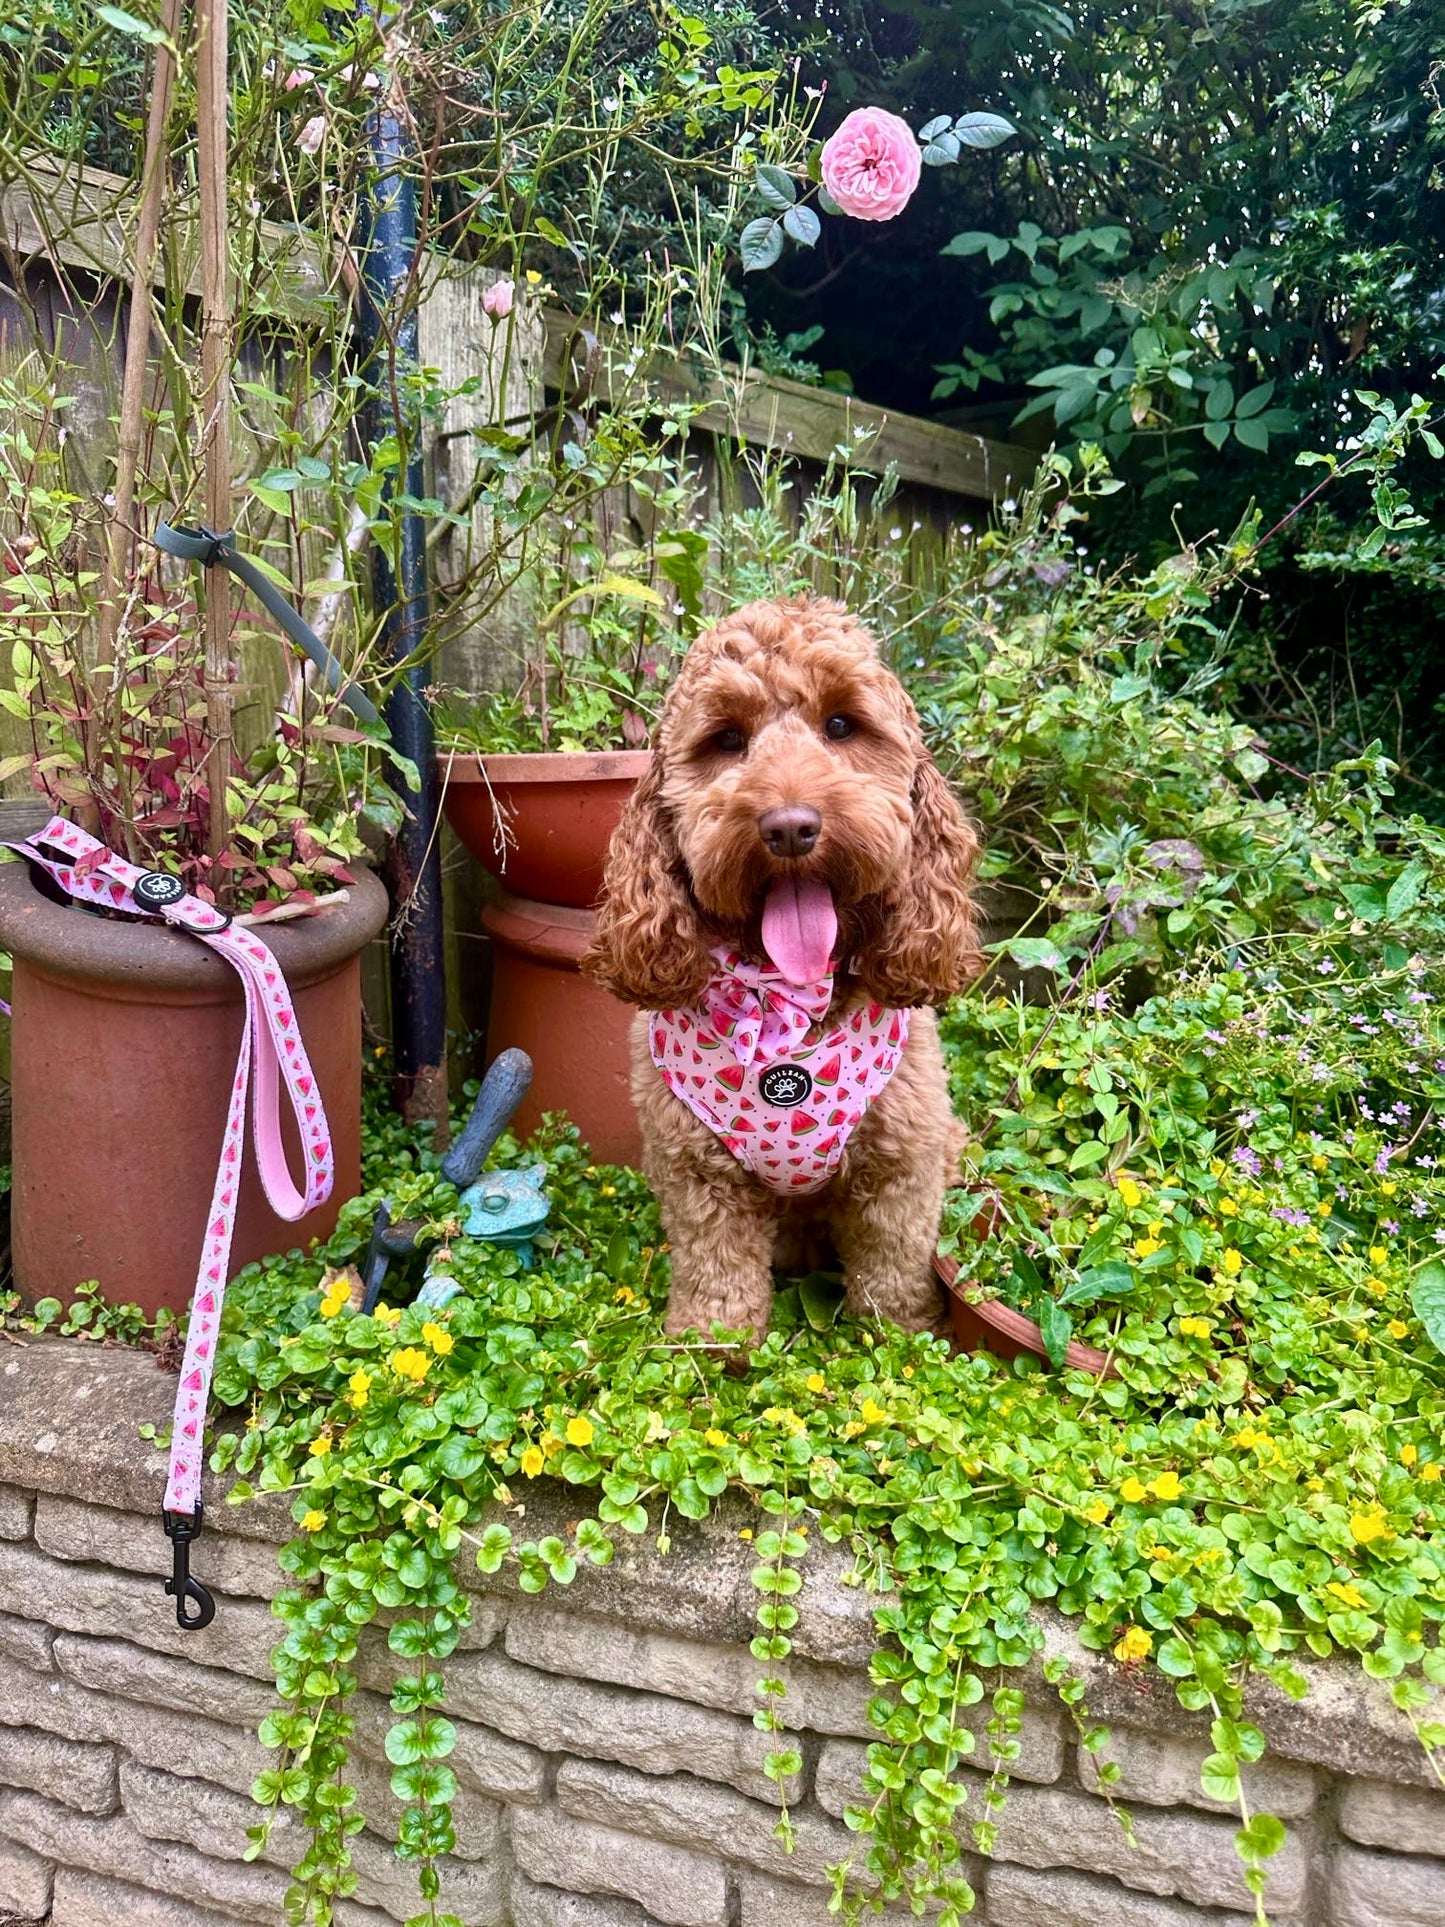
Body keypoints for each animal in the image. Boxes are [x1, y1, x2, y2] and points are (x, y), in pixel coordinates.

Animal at [581, 593, 978, 1333]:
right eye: (727, 740)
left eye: (842, 725)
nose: (790, 827)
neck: (782, 997)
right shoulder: (696, 1172)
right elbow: (716, 1273)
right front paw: (706, 1345)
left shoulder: (901, 1165)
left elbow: (892, 1267)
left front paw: (907, 1336)